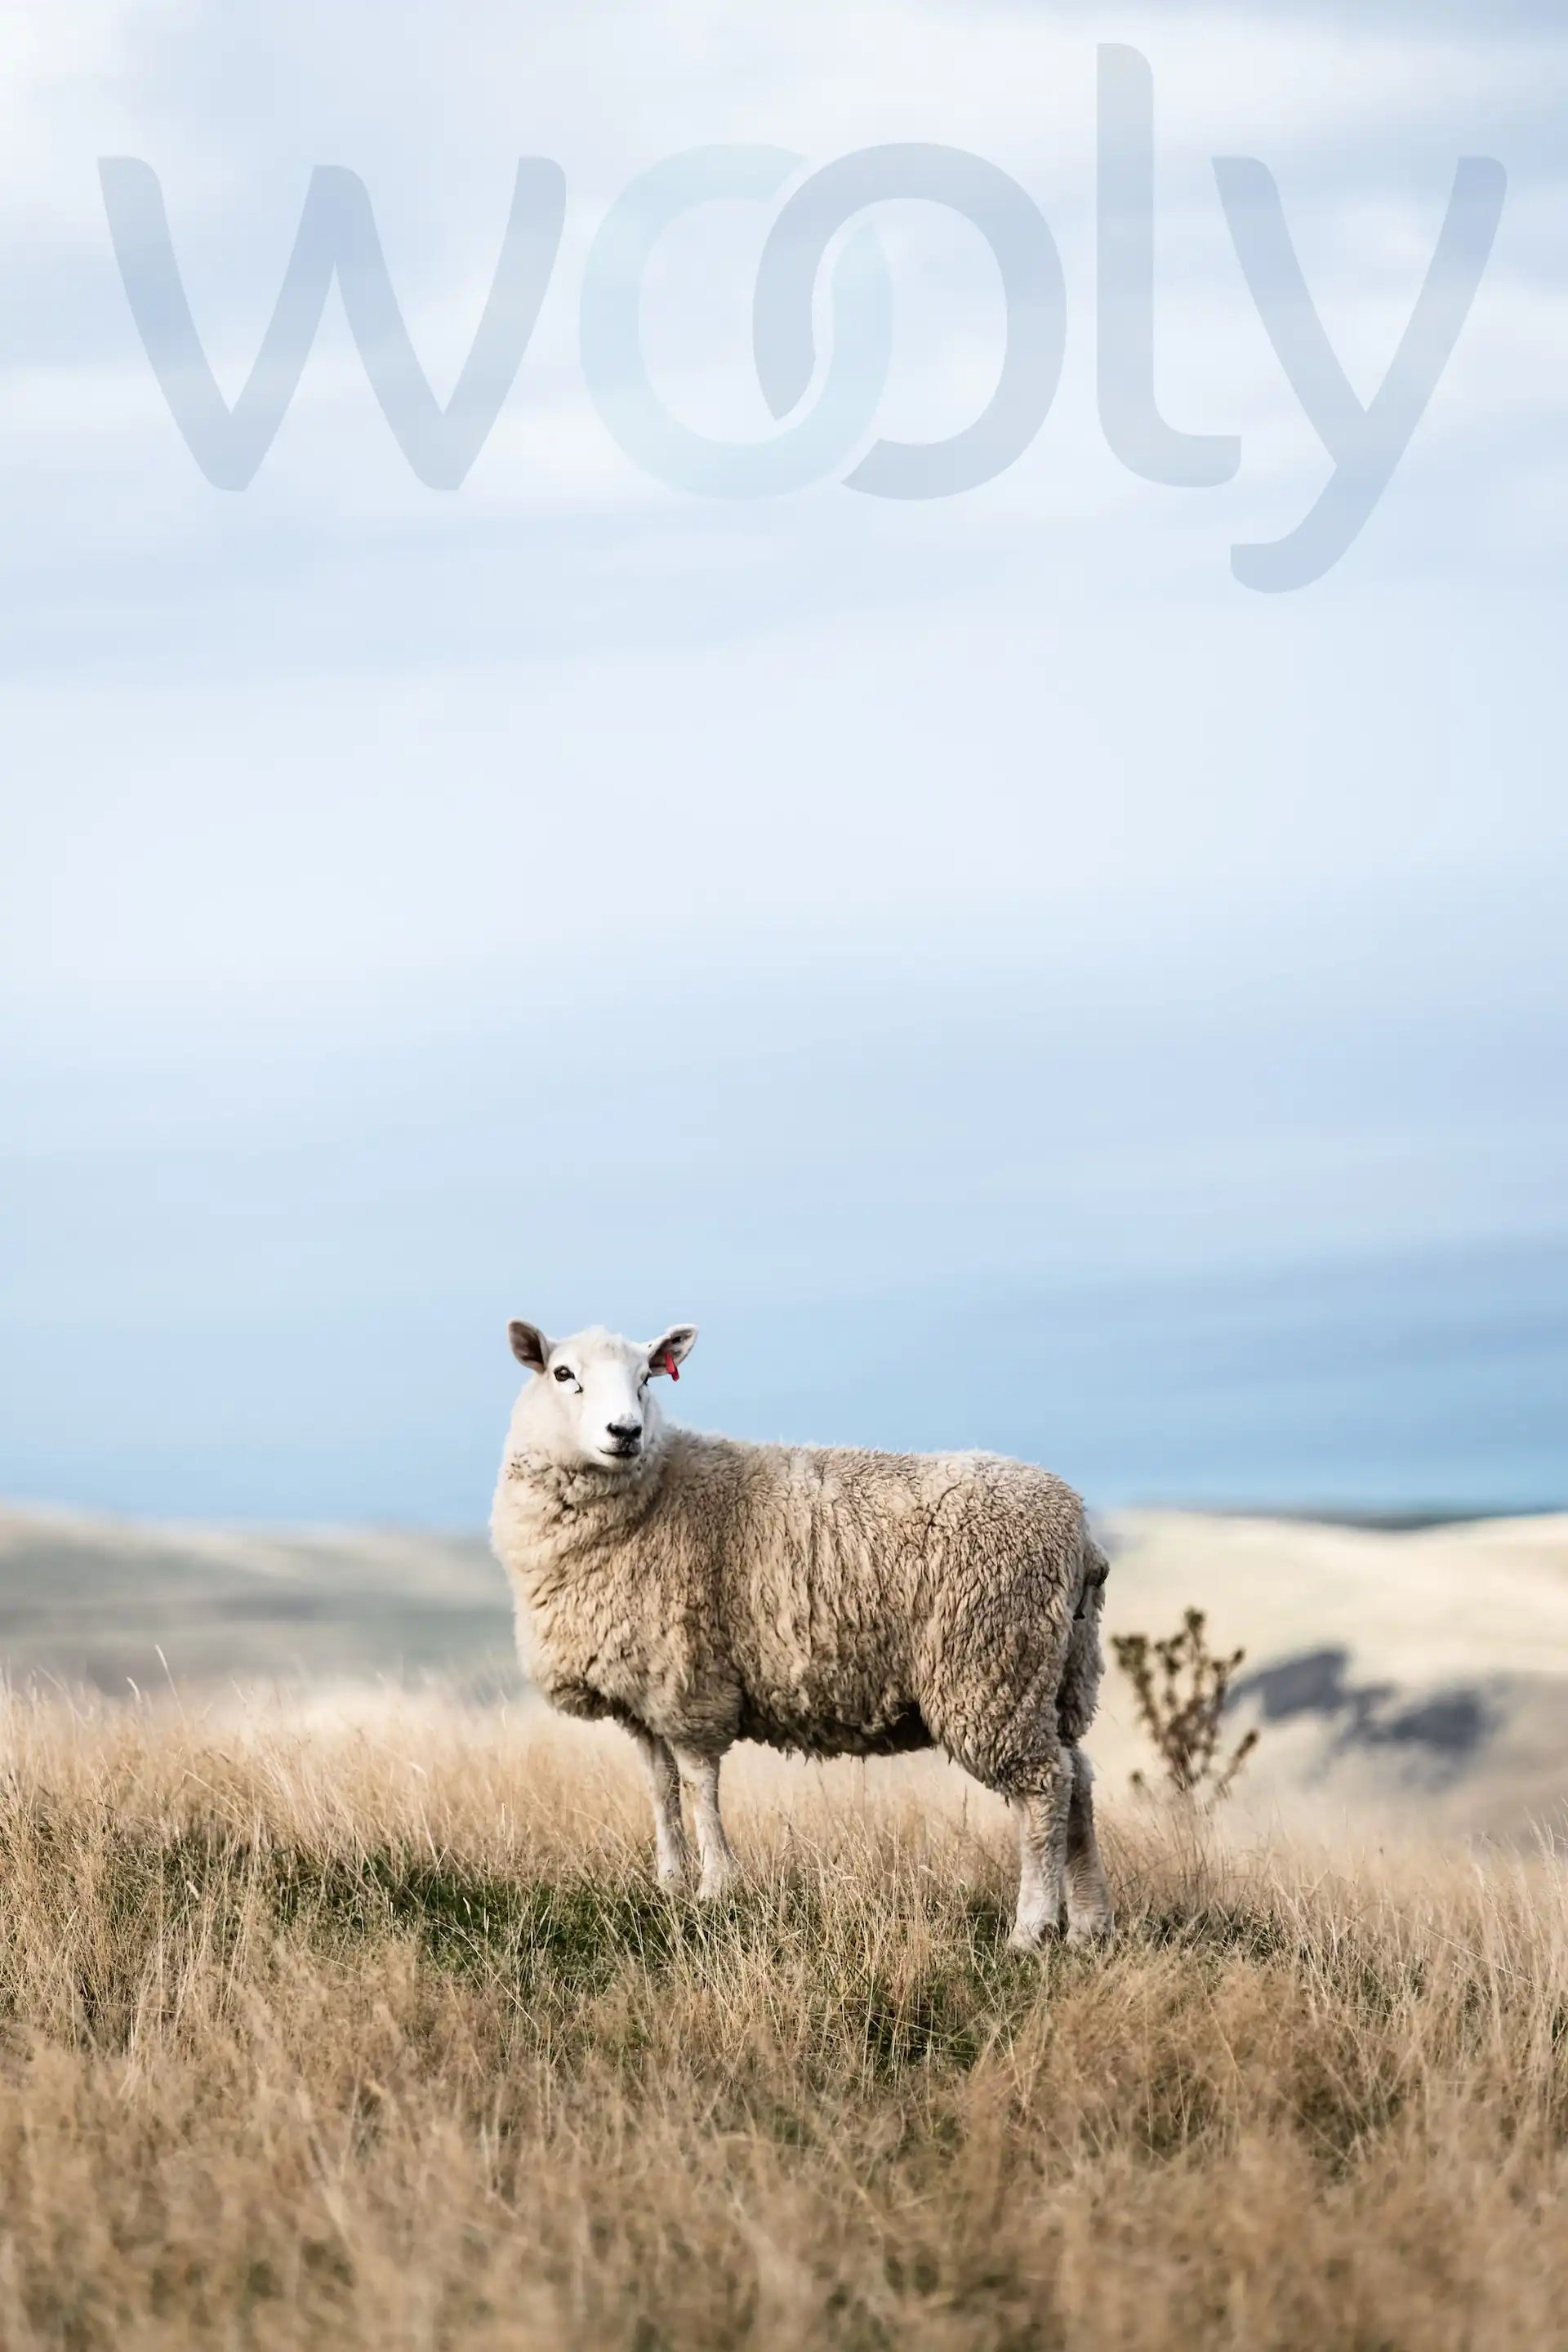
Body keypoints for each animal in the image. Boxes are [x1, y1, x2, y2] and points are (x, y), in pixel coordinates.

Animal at [489, 1318, 1114, 1950]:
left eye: (646, 1377)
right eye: (563, 1373)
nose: (626, 1432)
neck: (656, 1492)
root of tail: (1080, 1533)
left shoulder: (691, 1683)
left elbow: (699, 1784)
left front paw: (716, 1887)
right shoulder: (644, 1692)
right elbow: (660, 1788)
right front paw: (669, 1883)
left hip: (992, 1670)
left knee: (1043, 1788)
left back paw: (1031, 1928)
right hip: (1057, 1674)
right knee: (1078, 1779)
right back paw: (1089, 1924)